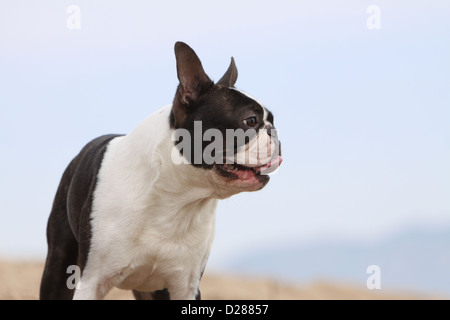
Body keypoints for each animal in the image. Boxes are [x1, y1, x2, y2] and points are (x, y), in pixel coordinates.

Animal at [41, 42, 282, 300]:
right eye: (250, 121)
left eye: (272, 120)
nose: (274, 131)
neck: (176, 199)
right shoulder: (91, 283)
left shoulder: (185, 286)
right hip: (59, 264)